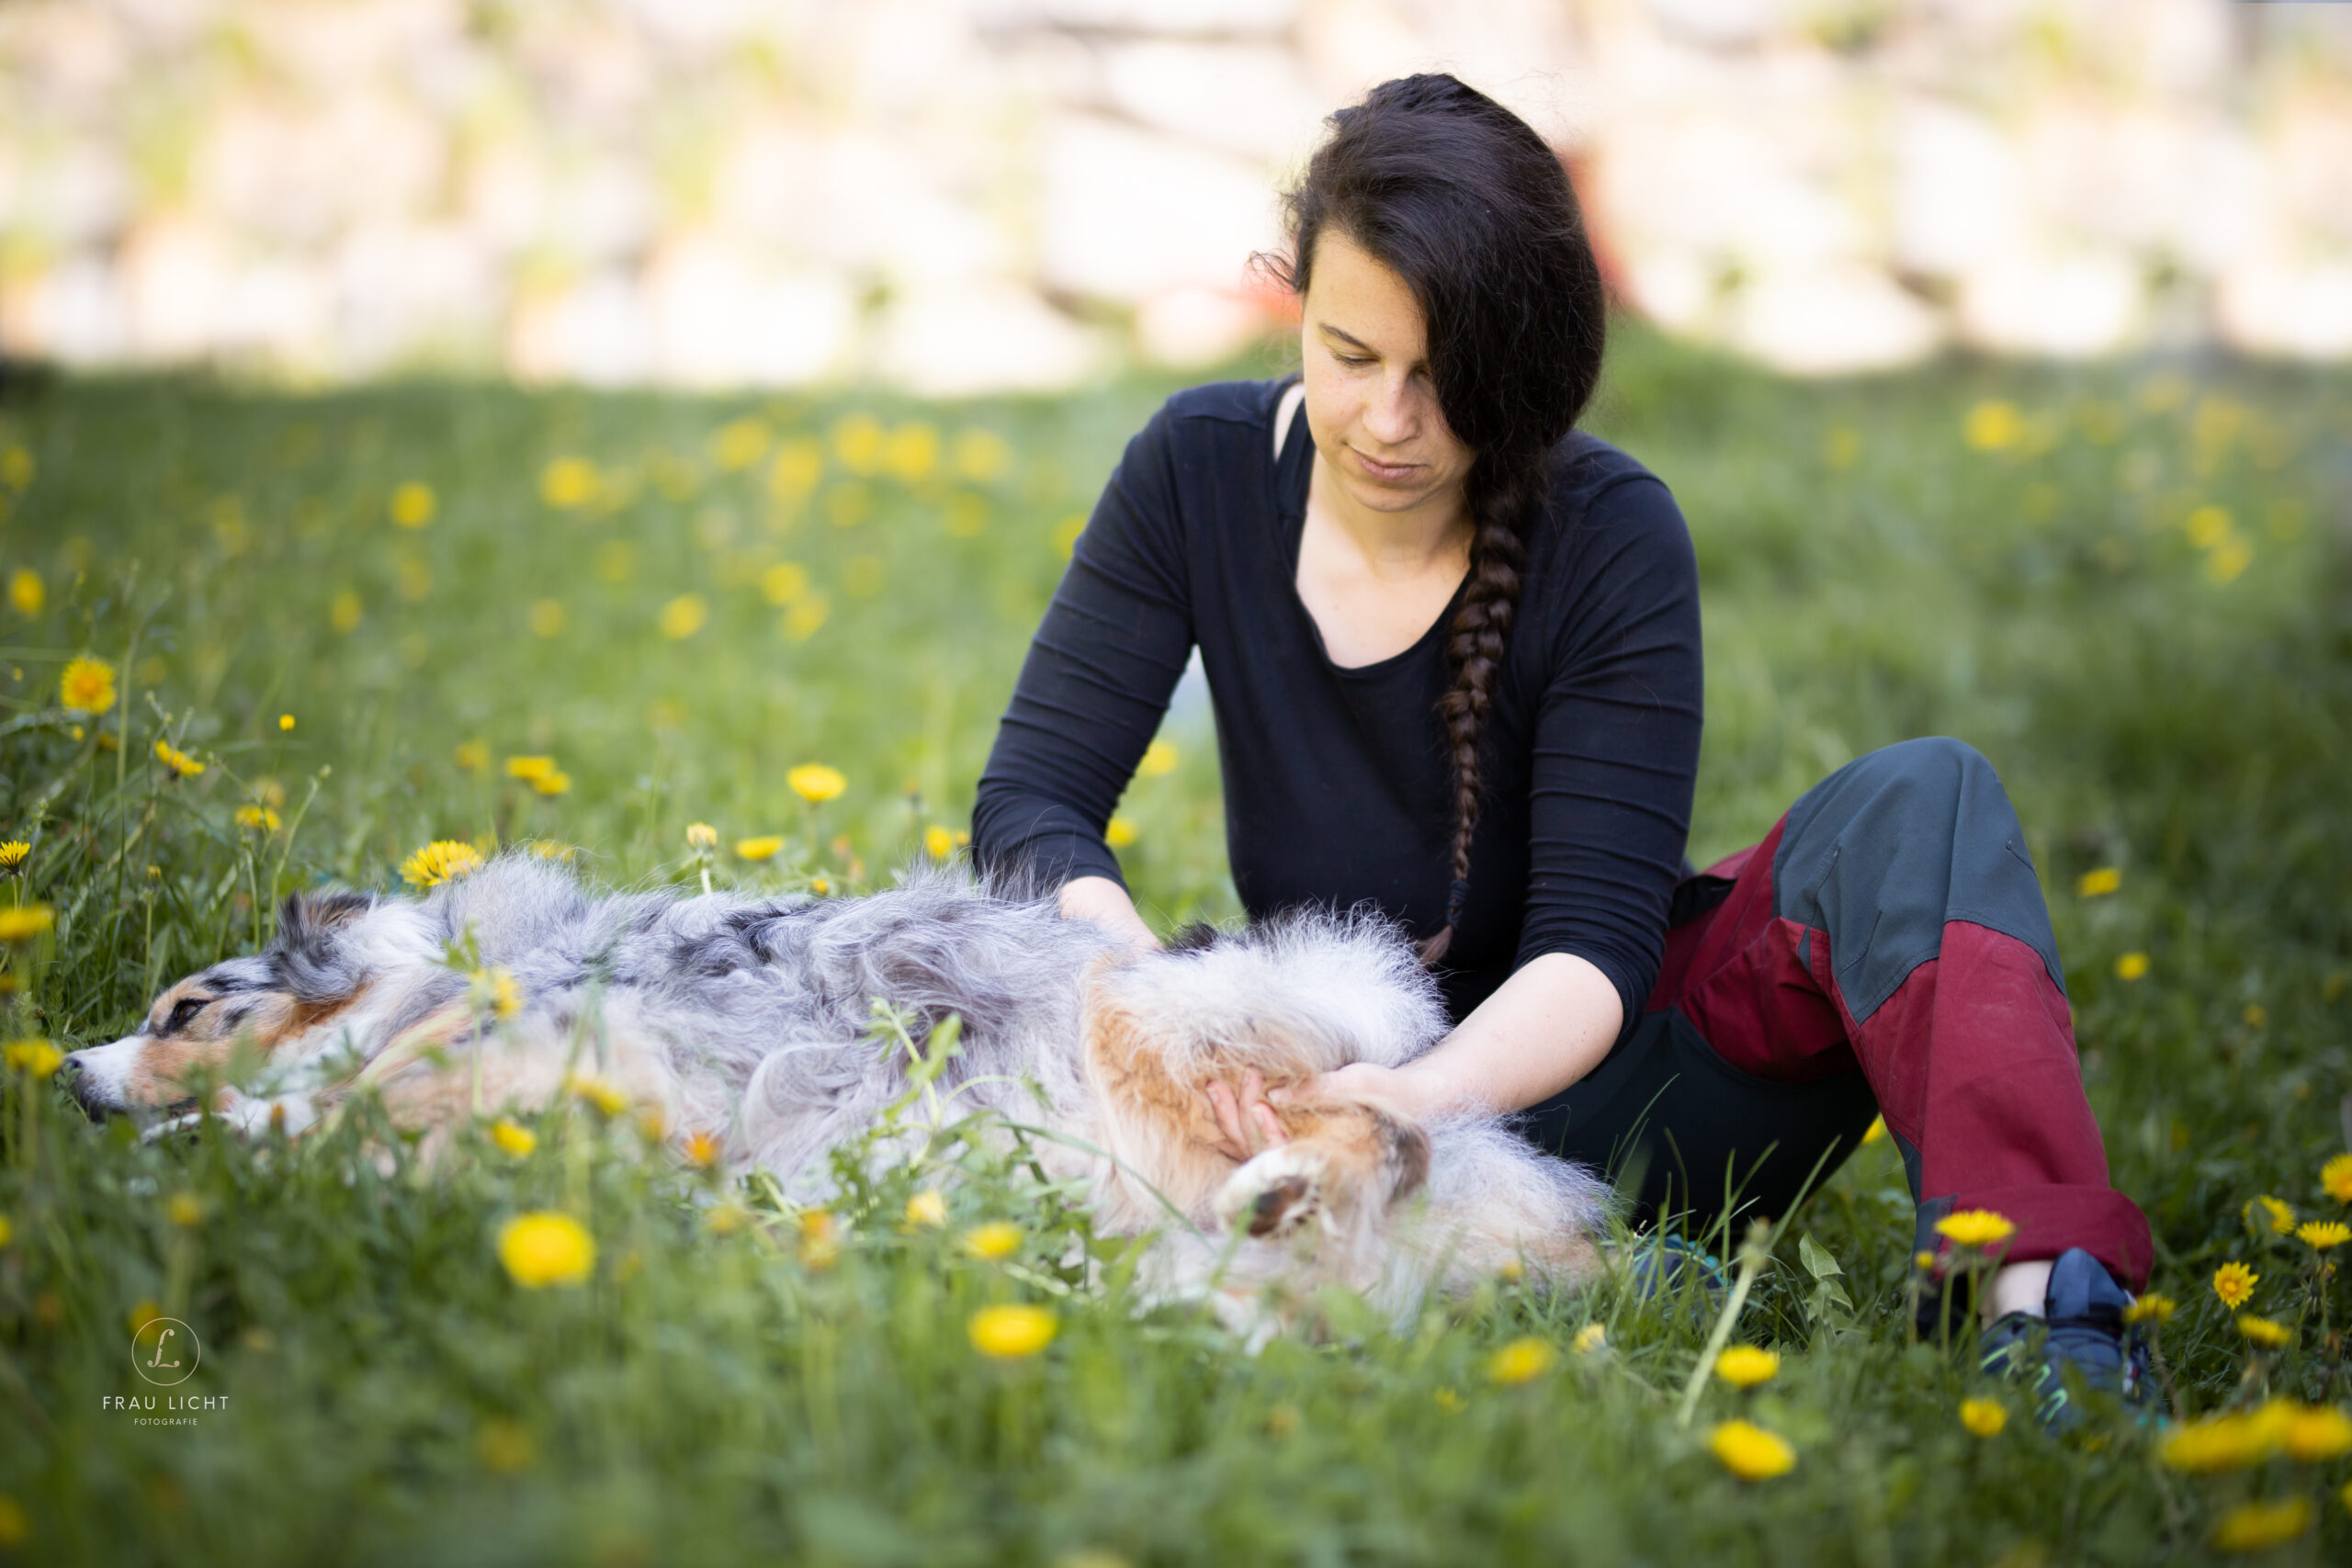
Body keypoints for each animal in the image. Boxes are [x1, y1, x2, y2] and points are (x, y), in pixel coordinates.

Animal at [64, 860, 1609, 1325]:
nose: (67, 1076)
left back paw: (1283, 1183)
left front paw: (203, 1133)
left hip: (1192, 1015)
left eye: (181, 1009)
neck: (440, 979)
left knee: (1382, 1127)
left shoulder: (553, 1060)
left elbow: (322, 1109)